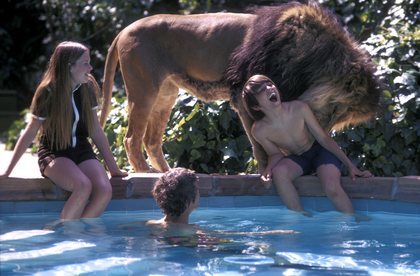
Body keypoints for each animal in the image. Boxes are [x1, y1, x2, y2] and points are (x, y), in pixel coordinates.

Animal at [100, 1, 382, 172]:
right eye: (338, 110)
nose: (321, 132)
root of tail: (124, 29)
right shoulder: (242, 95)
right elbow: (259, 144)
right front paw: (265, 171)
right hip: (144, 91)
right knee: (131, 140)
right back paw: (147, 175)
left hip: (166, 95)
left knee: (151, 140)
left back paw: (169, 174)